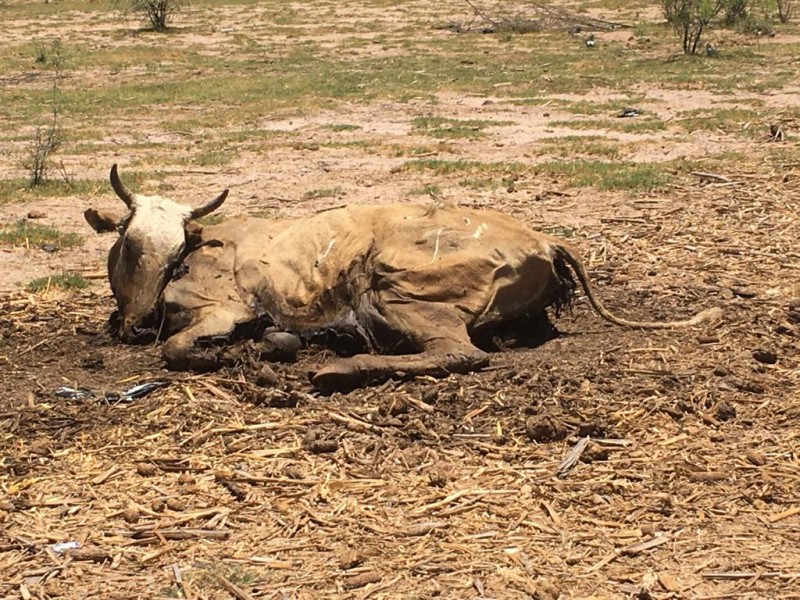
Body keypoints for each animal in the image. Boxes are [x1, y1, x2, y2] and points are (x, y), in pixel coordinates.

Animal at [84, 164, 720, 392]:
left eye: (171, 249)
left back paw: (339, 368)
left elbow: (178, 348)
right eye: (129, 243)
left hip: (394, 291)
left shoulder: (225, 310)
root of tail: (544, 239)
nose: (134, 325)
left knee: (459, 353)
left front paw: (232, 353)